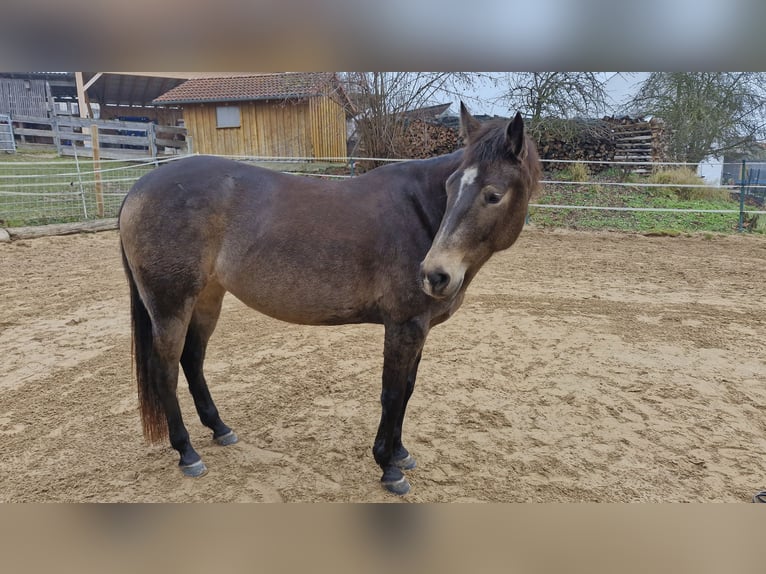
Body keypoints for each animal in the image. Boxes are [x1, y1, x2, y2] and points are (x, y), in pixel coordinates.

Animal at [118, 103, 541, 495]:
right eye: (451, 188)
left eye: (493, 195)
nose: (435, 274)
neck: (420, 212)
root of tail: (139, 188)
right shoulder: (403, 327)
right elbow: (392, 393)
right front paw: (388, 467)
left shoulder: (420, 329)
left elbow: (408, 389)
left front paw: (401, 454)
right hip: (170, 305)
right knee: (165, 370)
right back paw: (187, 452)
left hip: (207, 297)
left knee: (192, 359)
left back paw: (220, 428)